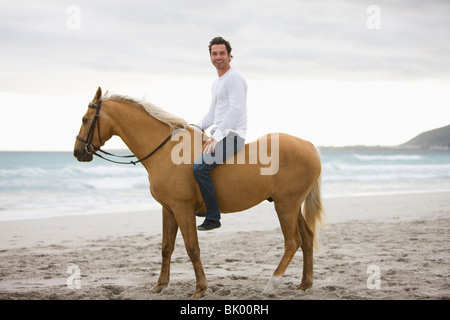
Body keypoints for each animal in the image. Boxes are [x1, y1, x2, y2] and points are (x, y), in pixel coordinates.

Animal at [74, 87, 326, 298]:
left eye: (85, 119)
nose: (77, 152)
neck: (166, 150)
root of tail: (308, 145)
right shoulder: (168, 209)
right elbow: (166, 248)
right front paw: (160, 285)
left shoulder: (182, 209)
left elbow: (192, 248)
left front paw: (200, 289)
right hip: (292, 205)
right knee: (307, 239)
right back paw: (305, 284)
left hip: (285, 206)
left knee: (292, 242)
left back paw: (271, 285)